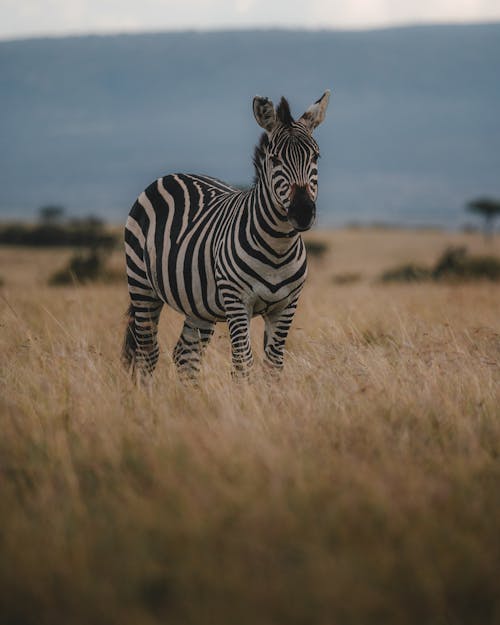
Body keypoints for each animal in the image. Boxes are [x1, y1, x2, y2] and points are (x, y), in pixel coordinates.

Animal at [123, 89, 330, 378]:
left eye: (315, 157)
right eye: (275, 159)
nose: (302, 212)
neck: (278, 246)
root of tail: (171, 175)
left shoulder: (286, 306)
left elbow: (273, 365)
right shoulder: (237, 302)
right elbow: (243, 364)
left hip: (198, 305)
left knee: (185, 355)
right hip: (142, 285)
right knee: (147, 354)